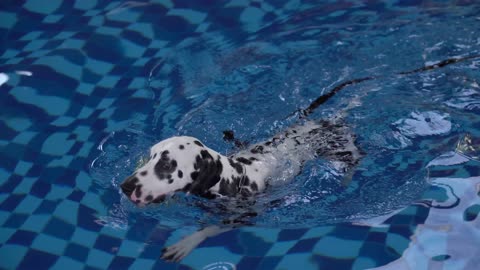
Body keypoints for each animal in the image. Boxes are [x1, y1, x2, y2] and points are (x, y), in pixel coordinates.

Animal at [120, 118, 360, 262]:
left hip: (342, 151)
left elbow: (209, 229)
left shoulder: (243, 216)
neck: (235, 176)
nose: (125, 186)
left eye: (168, 164)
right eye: (151, 156)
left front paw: (187, 243)